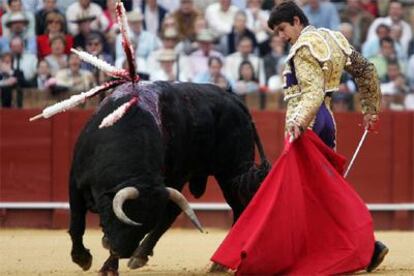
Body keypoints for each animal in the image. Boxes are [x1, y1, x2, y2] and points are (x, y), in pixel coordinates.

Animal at [68, 81, 270, 274]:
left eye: (144, 227)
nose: (123, 252)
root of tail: (232, 97)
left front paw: (106, 266)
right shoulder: (75, 181)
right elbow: (77, 221)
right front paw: (83, 258)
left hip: (229, 172)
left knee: (232, 208)